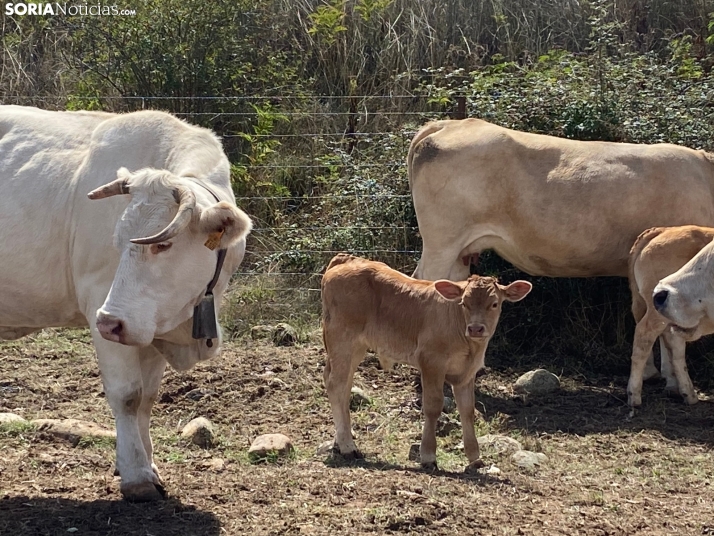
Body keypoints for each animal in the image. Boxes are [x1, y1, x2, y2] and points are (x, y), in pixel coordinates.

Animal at [0, 105, 253, 502]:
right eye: (117, 240)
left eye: (162, 243)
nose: (109, 321)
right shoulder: (103, 307)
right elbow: (128, 395)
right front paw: (136, 475)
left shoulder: (148, 323)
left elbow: (147, 398)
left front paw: (148, 463)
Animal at [320, 253, 532, 472]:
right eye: (464, 303)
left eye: (494, 304)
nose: (475, 328)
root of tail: (347, 259)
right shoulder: (431, 362)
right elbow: (433, 406)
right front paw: (428, 455)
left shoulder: (467, 372)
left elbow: (467, 410)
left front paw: (474, 457)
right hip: (342, 338)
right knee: (336, 384)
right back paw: (347, 446)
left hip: (356, 347)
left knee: (344, 386)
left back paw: (340, 442)